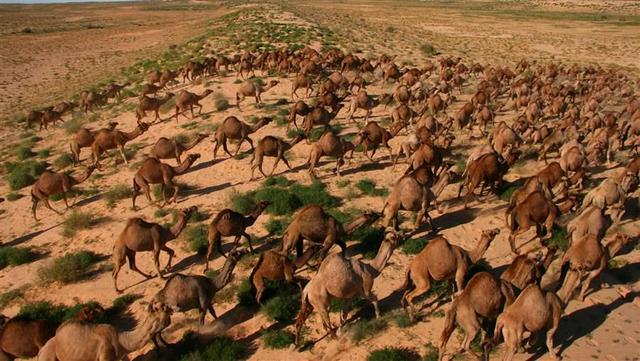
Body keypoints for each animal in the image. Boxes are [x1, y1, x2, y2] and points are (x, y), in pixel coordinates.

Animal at [37, 300, 172, 360]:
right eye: (162, 308)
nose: (170, 308)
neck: (122, 341)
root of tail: (40, 352)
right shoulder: (105, 354)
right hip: (48, 357)